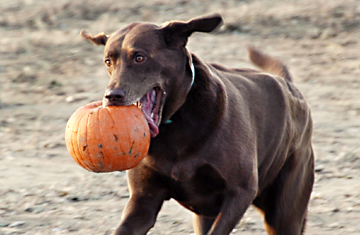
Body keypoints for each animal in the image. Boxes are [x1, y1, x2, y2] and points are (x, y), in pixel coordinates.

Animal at [80, 13, 314, 234]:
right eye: (108, 61)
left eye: (139, 57)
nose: (112, 96)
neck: (176, 124)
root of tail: (288, 84)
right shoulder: (143, 201)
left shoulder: (240, 192)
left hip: (284, 210)